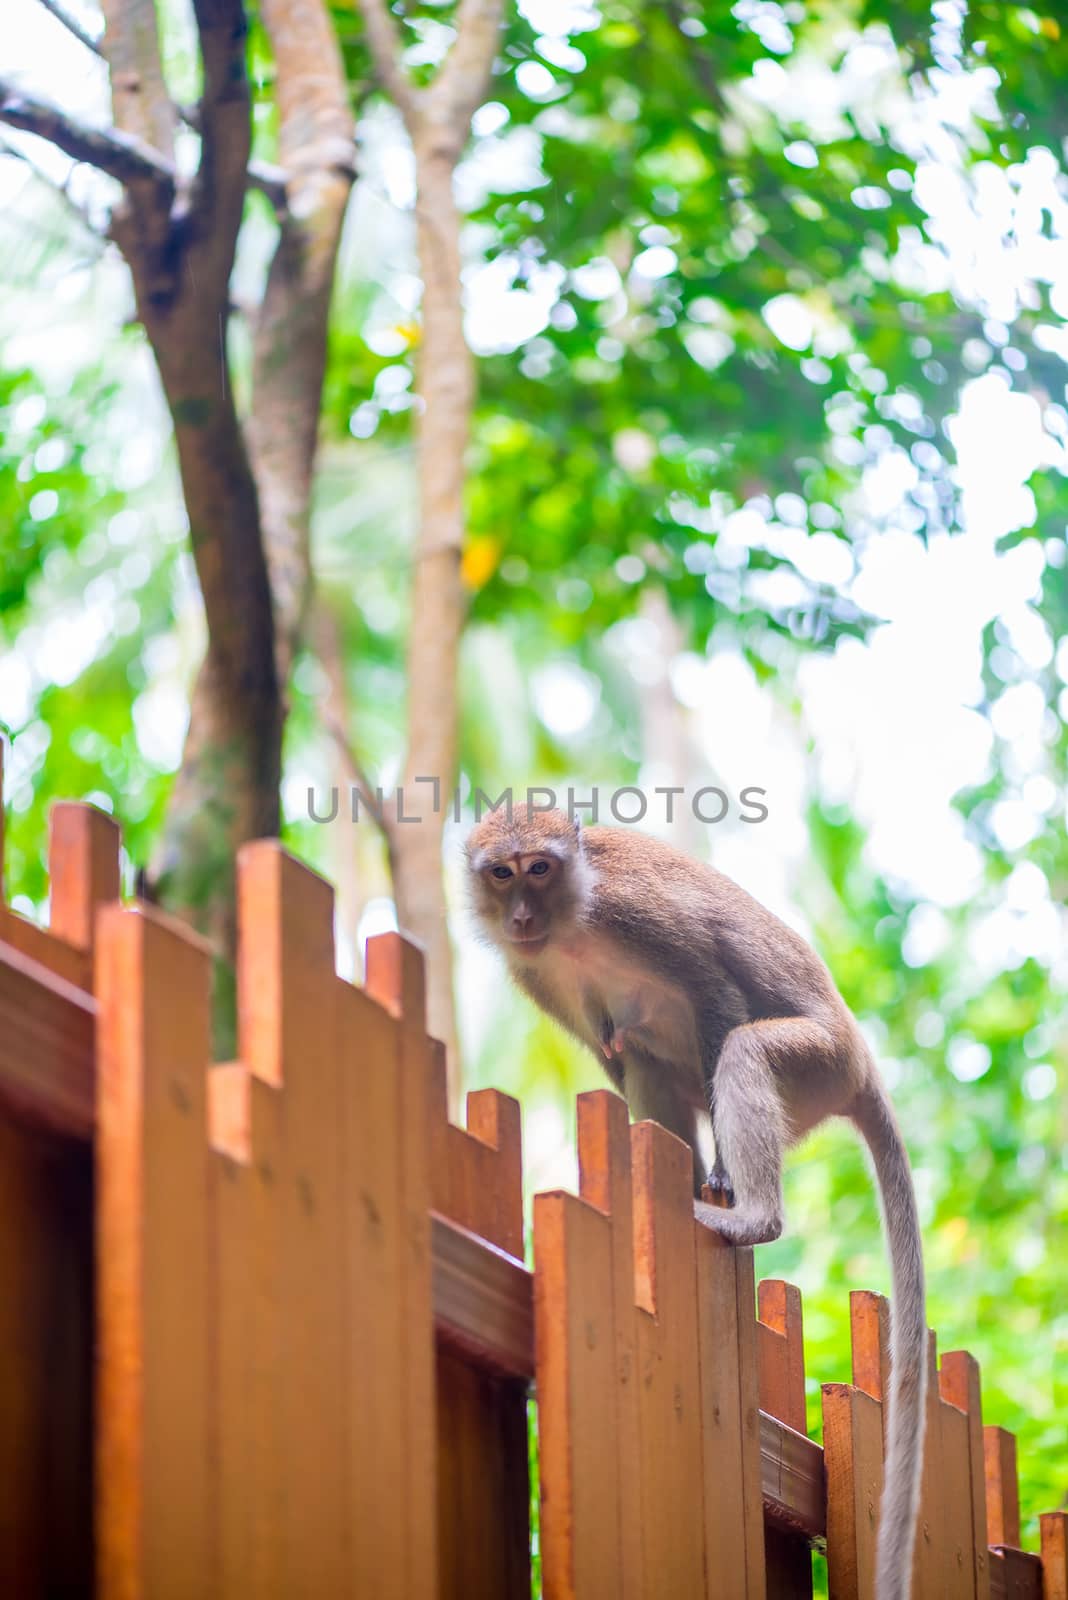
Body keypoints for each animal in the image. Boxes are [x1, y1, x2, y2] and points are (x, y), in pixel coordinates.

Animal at [466, 806, 927, 1600]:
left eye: (539, 868)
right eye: (501, 873)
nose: (521, 915)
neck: (574, 921)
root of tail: (861, 1062)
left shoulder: (637, 914)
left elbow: (716, 995)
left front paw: (720, 1172)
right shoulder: (533, 973)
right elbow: (615, 1058)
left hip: (816, 1064)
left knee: (741, 1049)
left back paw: (746, 1211)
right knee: (645, 1057)